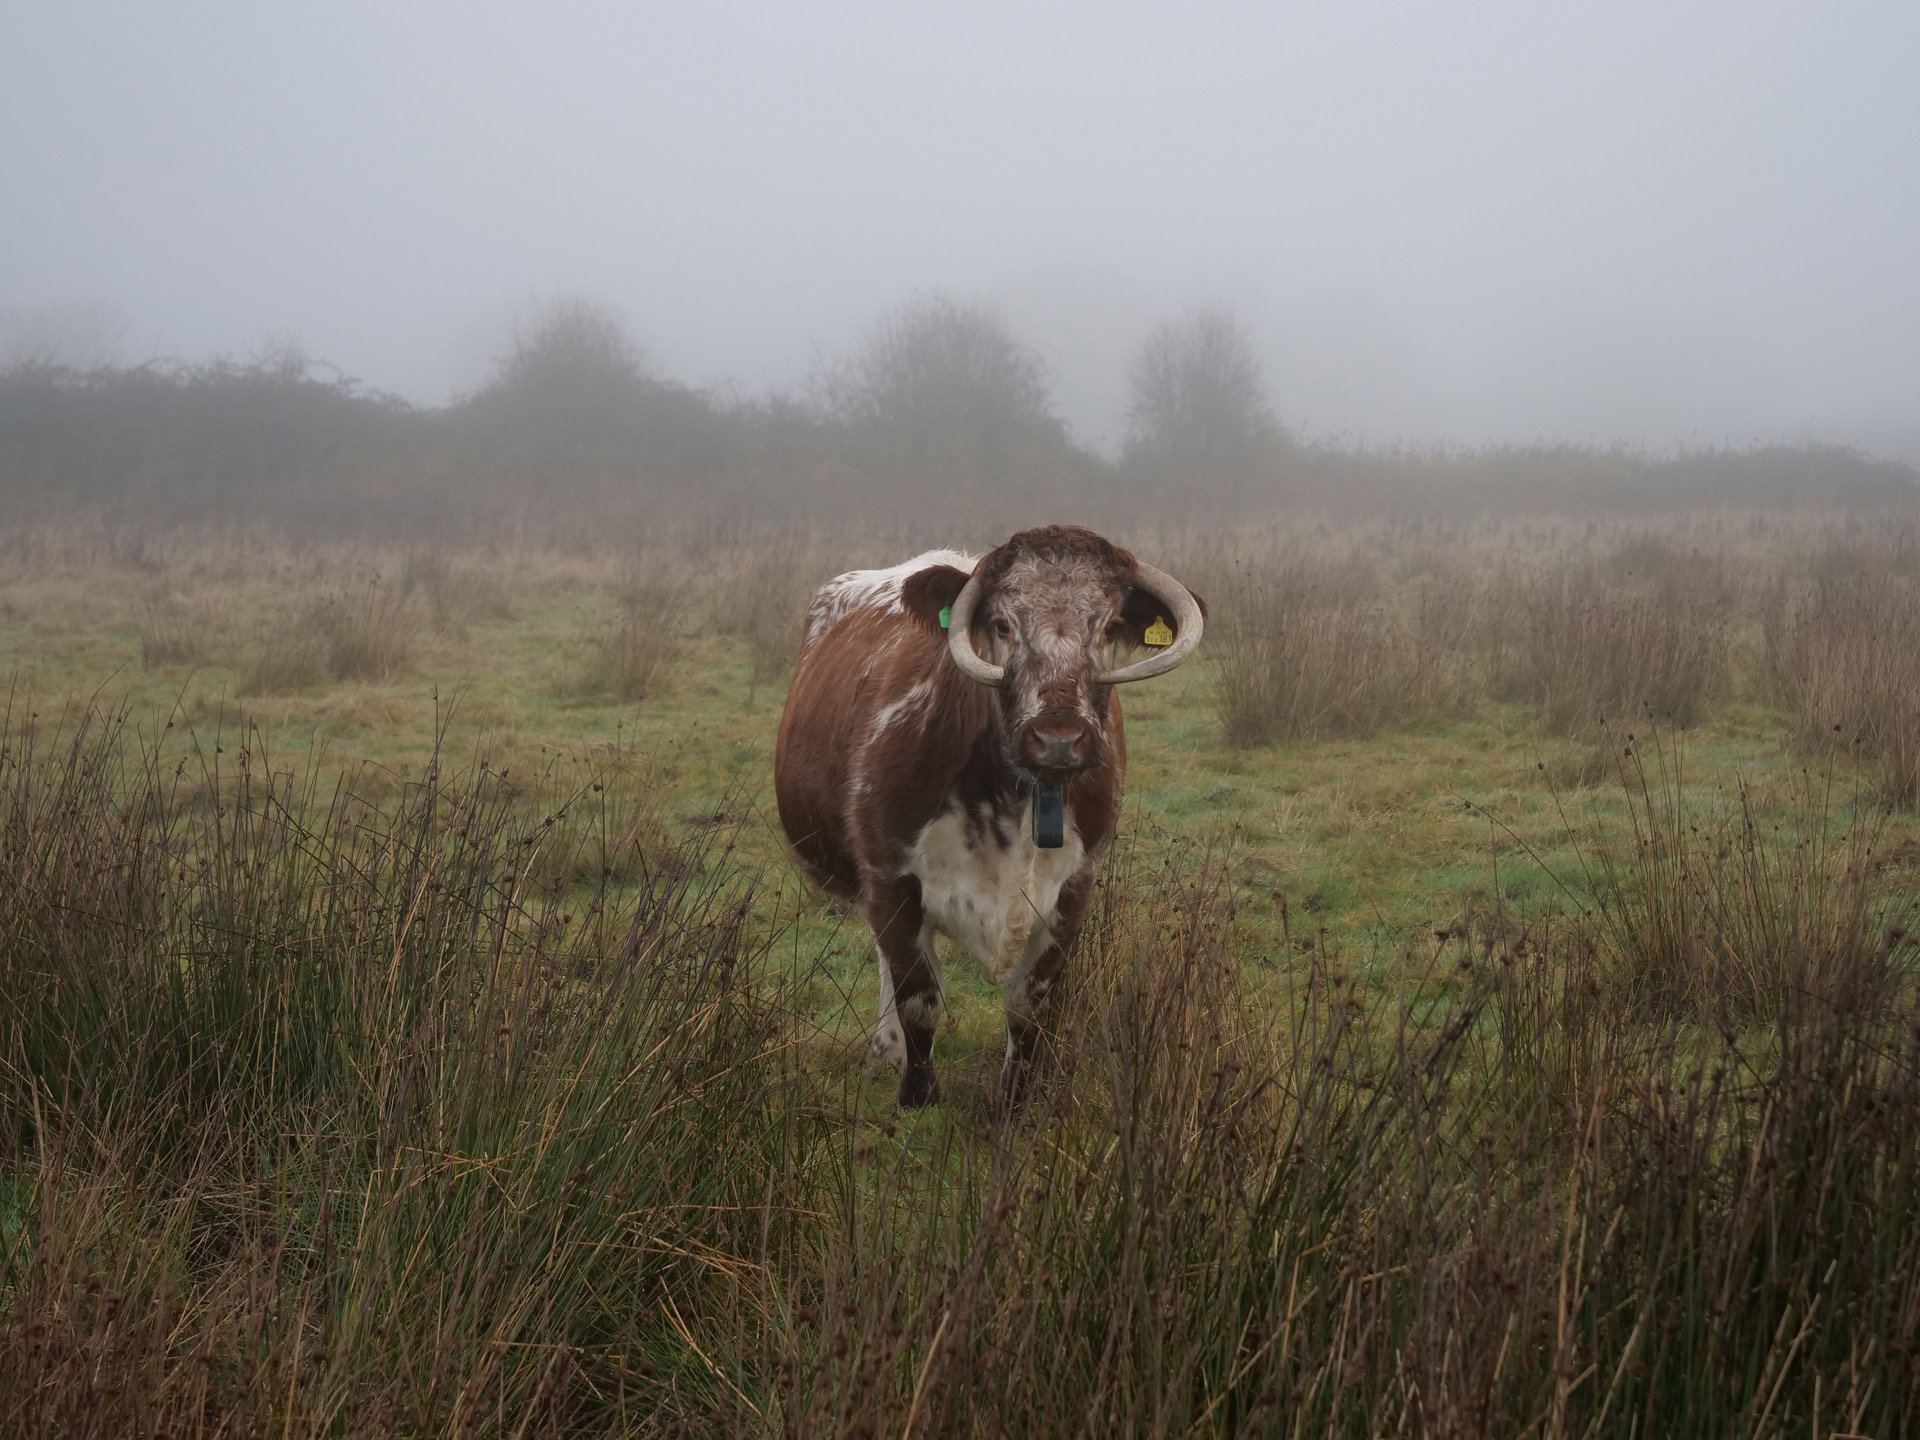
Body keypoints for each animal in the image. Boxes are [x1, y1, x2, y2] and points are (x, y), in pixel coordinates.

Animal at [774, 524, 1205, 1114]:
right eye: (1002, 624)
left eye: (1111, 626)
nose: (1059, 740)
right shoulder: (890, 876)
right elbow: (919, 997)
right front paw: (916, 1097)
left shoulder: (1076, 888)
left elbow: (1029, 1004)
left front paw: (1015, 1104)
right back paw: (886, 1051)